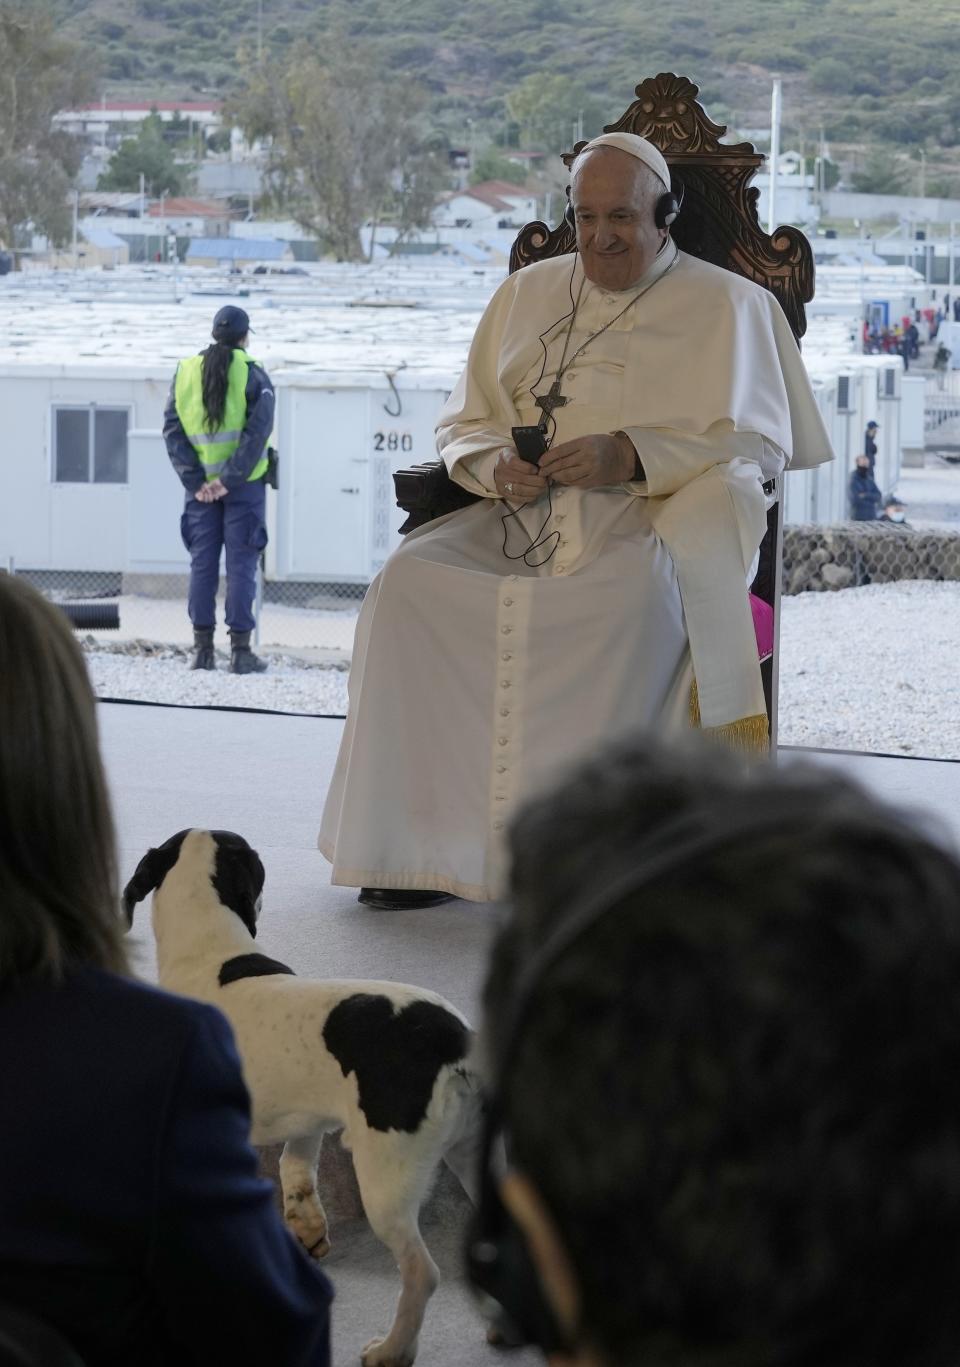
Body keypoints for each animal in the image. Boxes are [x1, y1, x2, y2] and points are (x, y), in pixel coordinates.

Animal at [125, 825, 484, 1367]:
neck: (211, 956)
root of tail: (454, 1036)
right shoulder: (306, 1121)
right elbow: (295, 1170)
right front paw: (308, 1228)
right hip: (471, 1156)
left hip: (387, 1181)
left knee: (423, 1274)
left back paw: (392, 1349)